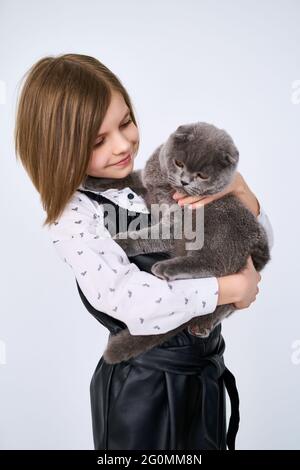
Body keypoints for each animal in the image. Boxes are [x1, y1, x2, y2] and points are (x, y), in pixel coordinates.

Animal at [83, 122, 270, 364]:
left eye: (202, 175)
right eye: (179, 163)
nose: (185, 180)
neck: (167, 188)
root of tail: (259, 244)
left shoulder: (177, 222)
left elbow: (150, 235)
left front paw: (121, 241)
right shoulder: (146, 179)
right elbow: (126, 178)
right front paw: (92, 181)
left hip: (219, 228)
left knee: (211, 263)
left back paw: (165, 269)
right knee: (227, 300)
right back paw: (202, 322)